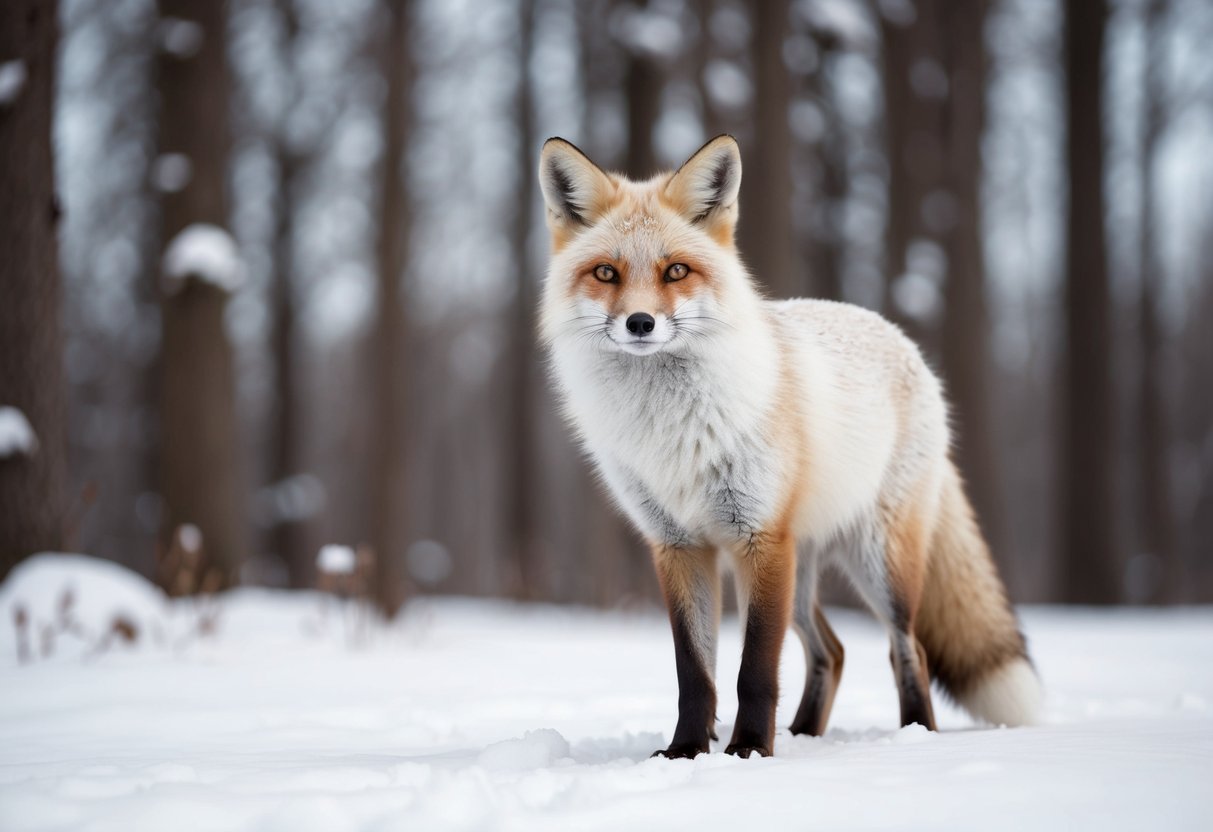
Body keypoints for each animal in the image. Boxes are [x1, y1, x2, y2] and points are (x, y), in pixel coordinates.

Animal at [536, 134, 1042, 759]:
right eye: (606, 272)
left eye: (675, 270)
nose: (639, 323)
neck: (669, 429)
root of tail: (904, 342)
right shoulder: (679, 546)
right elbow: (694, 672)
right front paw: (687, 752)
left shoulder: (760, 538)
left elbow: (754, 670)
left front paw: (750, 750)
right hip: (800, 573)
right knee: (833, 650)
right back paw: (805, 733)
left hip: (876, 562)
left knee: (909, 648)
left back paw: (914, 734)